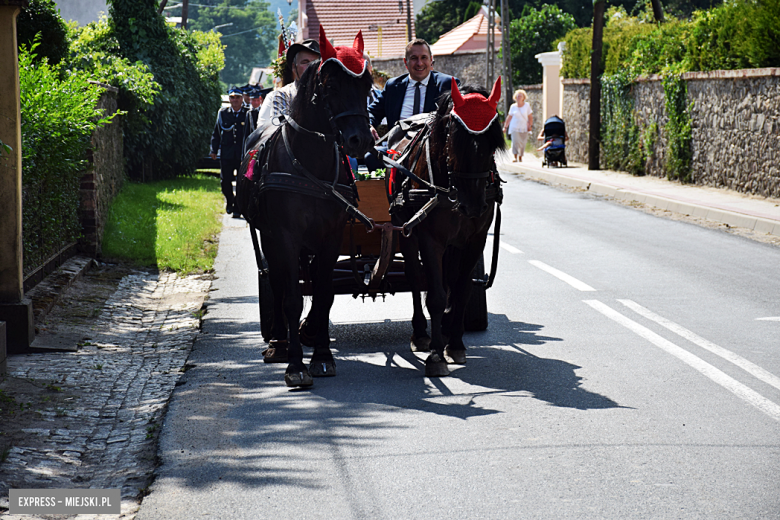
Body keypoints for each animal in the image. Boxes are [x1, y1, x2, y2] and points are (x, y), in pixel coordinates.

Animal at [236, 27, 374, 386]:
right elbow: (291, 298)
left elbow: (324, 295)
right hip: (269, 238)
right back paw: (280, 343)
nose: (361, 140)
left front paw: (322, 356)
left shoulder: (330, 237)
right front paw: (296, 364)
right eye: (331, 85)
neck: (311, 165)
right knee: (279, 283)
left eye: (367, 86)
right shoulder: (284, 236)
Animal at [390, 78, 506, 378]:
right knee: (415, 278)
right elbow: (435, 296)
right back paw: (421, 333)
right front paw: (435, 355)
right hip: (405, 233)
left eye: (493, 141)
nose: (472, 205)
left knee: (448, 279)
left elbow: (461, 290)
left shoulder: (475, 240)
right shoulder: (431, 240)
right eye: (455, 136)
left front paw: (454, 344)